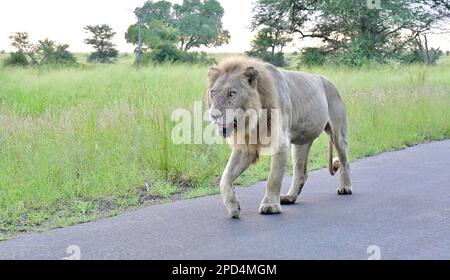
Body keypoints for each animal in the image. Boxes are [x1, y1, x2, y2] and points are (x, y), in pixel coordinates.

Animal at [205, 57, 352, 219]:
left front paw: (271, 206)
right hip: (300, 143)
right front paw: (233, 206)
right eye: (212, 93)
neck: (253, 118)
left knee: (344, 160)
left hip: (338, 133)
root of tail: (329, 81)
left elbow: (273, 178)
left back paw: (345, 188)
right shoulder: (246, 147)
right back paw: (289, 197)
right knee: (301, 173)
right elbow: (225, 178)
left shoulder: (281, 142)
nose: (214, 115)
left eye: (232, 93)